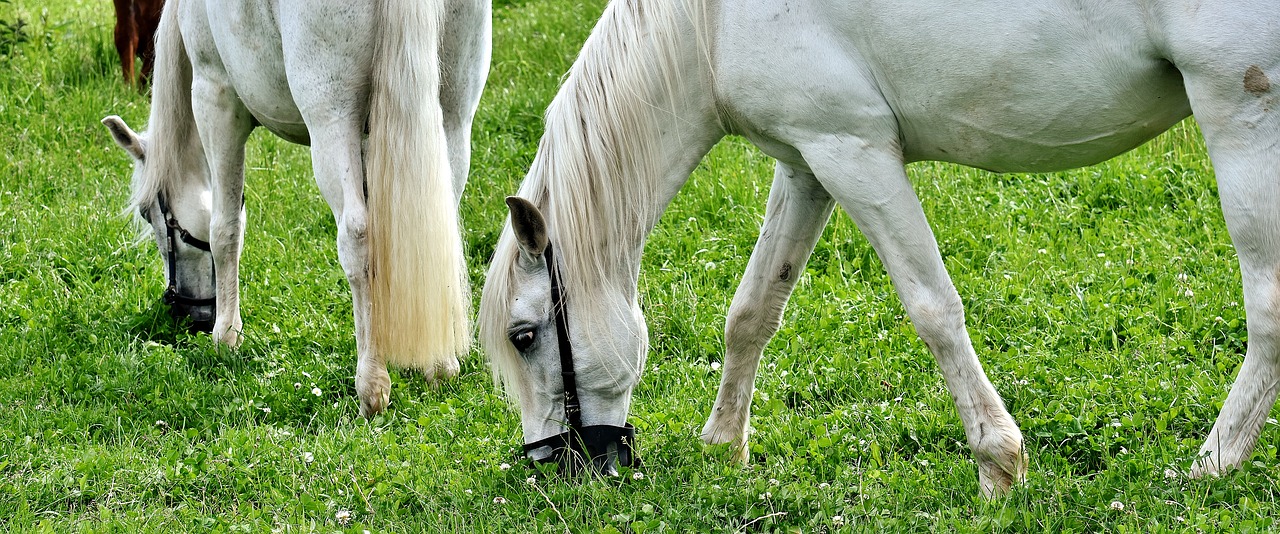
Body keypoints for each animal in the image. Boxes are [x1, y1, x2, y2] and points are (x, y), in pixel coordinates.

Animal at [99, 0, 486, 414]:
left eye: (150, 214)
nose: (192, 314)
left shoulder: (214, 93)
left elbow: (225, 229)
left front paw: (226, 336)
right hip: (452, 115)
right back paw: (439, 365)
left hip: (331, 120)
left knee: (357, 238)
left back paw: (371, 384)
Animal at [481, 0, 1280, 494]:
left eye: (525, 336)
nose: (553, 471)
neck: (708, 25)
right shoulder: (806, 164)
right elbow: (753, 311)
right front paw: (724, 446)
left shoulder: (854, 153)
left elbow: (934, 310)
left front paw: (999, 466)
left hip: (1243, 120)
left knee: (1268, 309)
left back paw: (1211, 467)